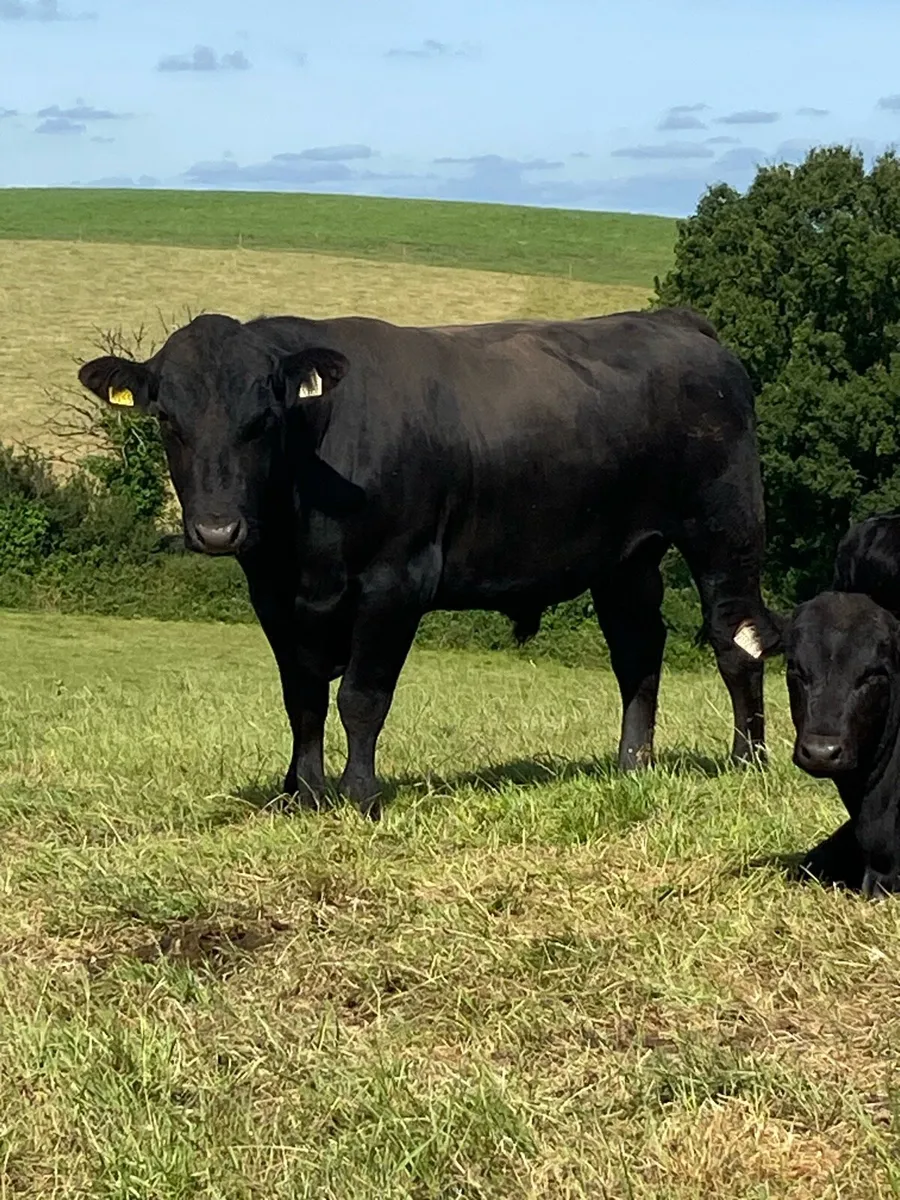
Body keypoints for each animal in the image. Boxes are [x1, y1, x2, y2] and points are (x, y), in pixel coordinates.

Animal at [77, 306, 782, 814]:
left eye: (263, 420)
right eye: (168, 420)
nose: (218, 529)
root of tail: (673, 321)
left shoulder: (396, 582)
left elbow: (361, 696)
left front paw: (359, 795)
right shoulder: (274, 596)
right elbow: (301, 698)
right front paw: (301, 793)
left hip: (725, 528)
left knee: (735, 637)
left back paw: (748, 761)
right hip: (626, 559)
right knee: (637, 649)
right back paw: (632, 763)